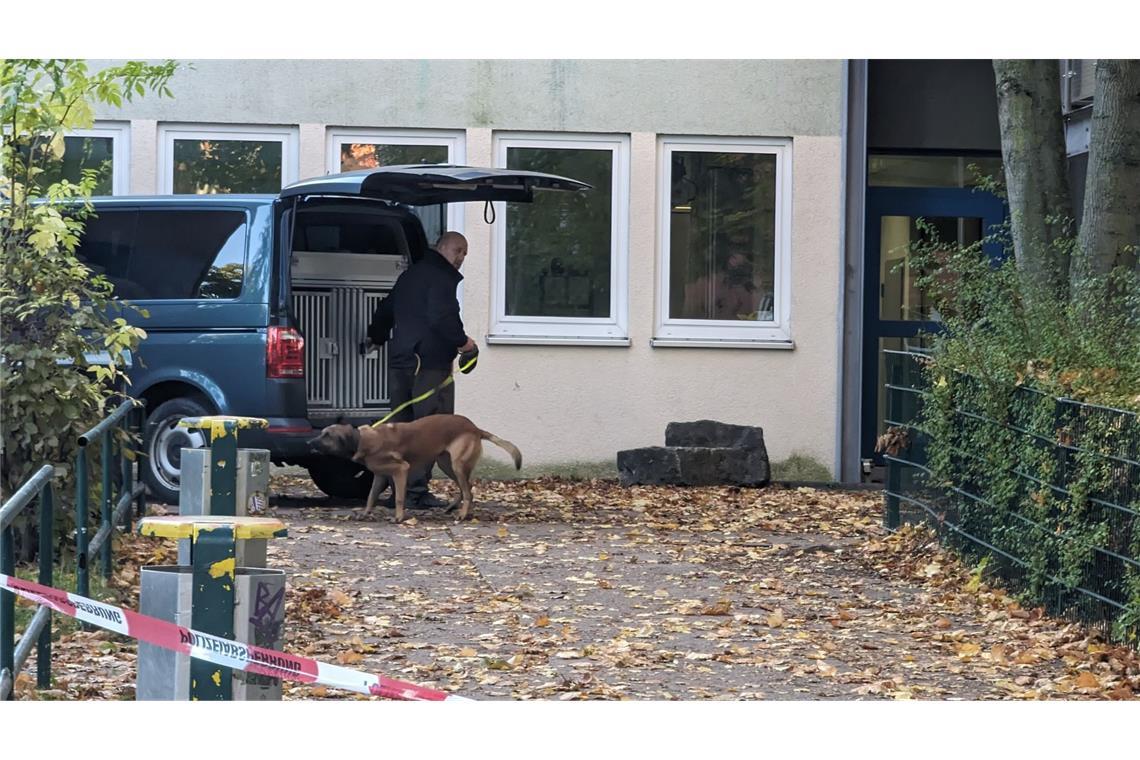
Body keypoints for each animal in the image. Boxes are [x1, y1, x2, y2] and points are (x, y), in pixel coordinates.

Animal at [312, 417, 524, 524]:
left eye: (327, 436)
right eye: (322, 433)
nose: (309, 443)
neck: (361, 440)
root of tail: (475, 428)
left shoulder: (400, 470)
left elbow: (399, 497)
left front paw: (398, 517)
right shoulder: (380, 476)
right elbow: (371, 497)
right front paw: (365, 514)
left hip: (456, 465)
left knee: (468, 492)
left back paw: (462, 515)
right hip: (447, 464)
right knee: (467, 489)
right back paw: (452, 508)